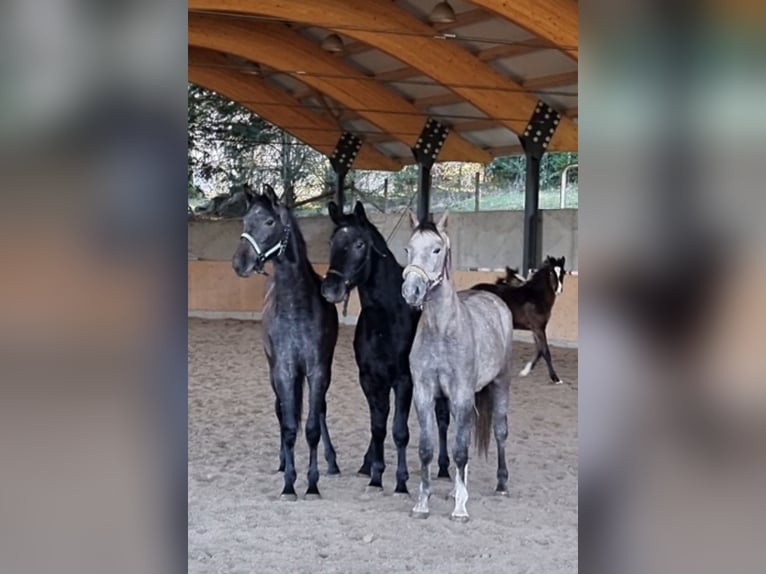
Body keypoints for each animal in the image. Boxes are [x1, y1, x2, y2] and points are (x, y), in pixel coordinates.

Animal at [232, 187, 340, 502]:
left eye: (269, 222)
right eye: (245, 220)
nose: (239, 263)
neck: (296, 307)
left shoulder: (317, 370)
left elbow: (312, 426)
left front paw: (312, 485)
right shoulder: (283, 371)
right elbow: (290, 425)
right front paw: (289, 484)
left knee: (320, 409)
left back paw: (332, 462)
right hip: (274, 372)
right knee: (281, 411)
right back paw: (282, 461)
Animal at [318, 202, 450, 496]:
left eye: (359, 244)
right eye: (331, 242)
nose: (330, 289)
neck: (386, 319)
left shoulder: (404, 380)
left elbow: (400, 431)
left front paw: (401, 482)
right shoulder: (370, 379)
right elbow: (378, 427)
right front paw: (376, 476)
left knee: (442, 418)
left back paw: (445, 468)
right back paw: (367, 464)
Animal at [402, 212, 516, 520]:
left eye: (437, 249)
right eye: (408, 248)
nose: (411, 291)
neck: (442, 331)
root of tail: (495, 300)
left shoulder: (462, 393)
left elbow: (462, 450)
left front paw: (460, 510)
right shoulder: (424, 394)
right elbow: (428, 449)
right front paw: (422, 504)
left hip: (500, 383)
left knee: (500, 431)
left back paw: (501, 484)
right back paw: (455, 489)